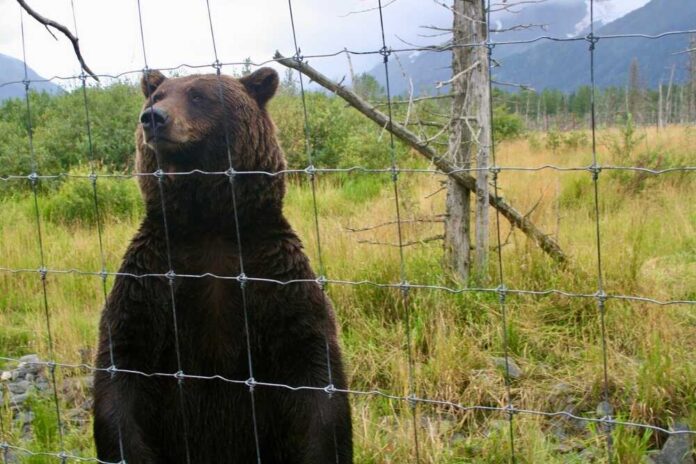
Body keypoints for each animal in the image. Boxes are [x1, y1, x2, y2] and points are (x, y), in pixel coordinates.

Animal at [93, 68, 352, 464]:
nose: (152, 118)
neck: (210, 225)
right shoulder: (151, 282)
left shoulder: (275, 280)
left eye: (198, 95)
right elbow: (121, 366)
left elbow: (314, 372)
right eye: (158, 95)